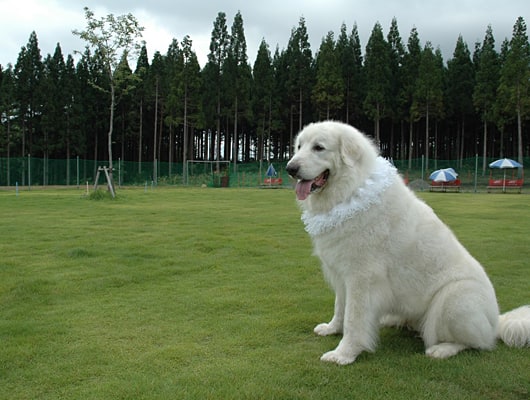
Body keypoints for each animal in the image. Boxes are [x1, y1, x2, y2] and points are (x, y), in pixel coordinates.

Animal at [284, 120, 528, 364]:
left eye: (319, 148)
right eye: (299, 147)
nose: (290, 169)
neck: (351, 192)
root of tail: (496, 322)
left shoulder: (361, 278)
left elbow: (354, 319)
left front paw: (344, 353)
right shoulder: (342, 275)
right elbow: (340, 307)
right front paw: (332, 328)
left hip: (454, 299)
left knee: (476, 343)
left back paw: (442, 349)